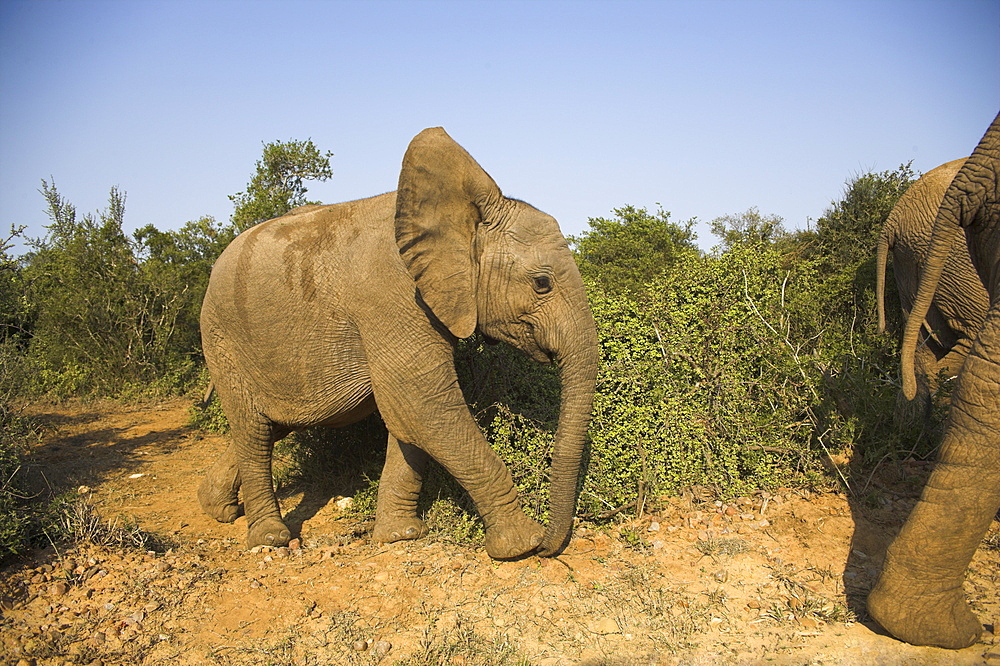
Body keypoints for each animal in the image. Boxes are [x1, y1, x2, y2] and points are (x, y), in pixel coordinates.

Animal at [199, 127, 596, 556]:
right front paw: (521, 545)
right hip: (222, 338)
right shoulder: (391, 296)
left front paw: (401, 535)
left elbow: (411, 421)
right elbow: (423, 405)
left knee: (271, 427)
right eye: (542, 284)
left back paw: (215, 508)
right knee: (253, 432)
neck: (459, 220)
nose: (550, 547)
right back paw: (270, 538)